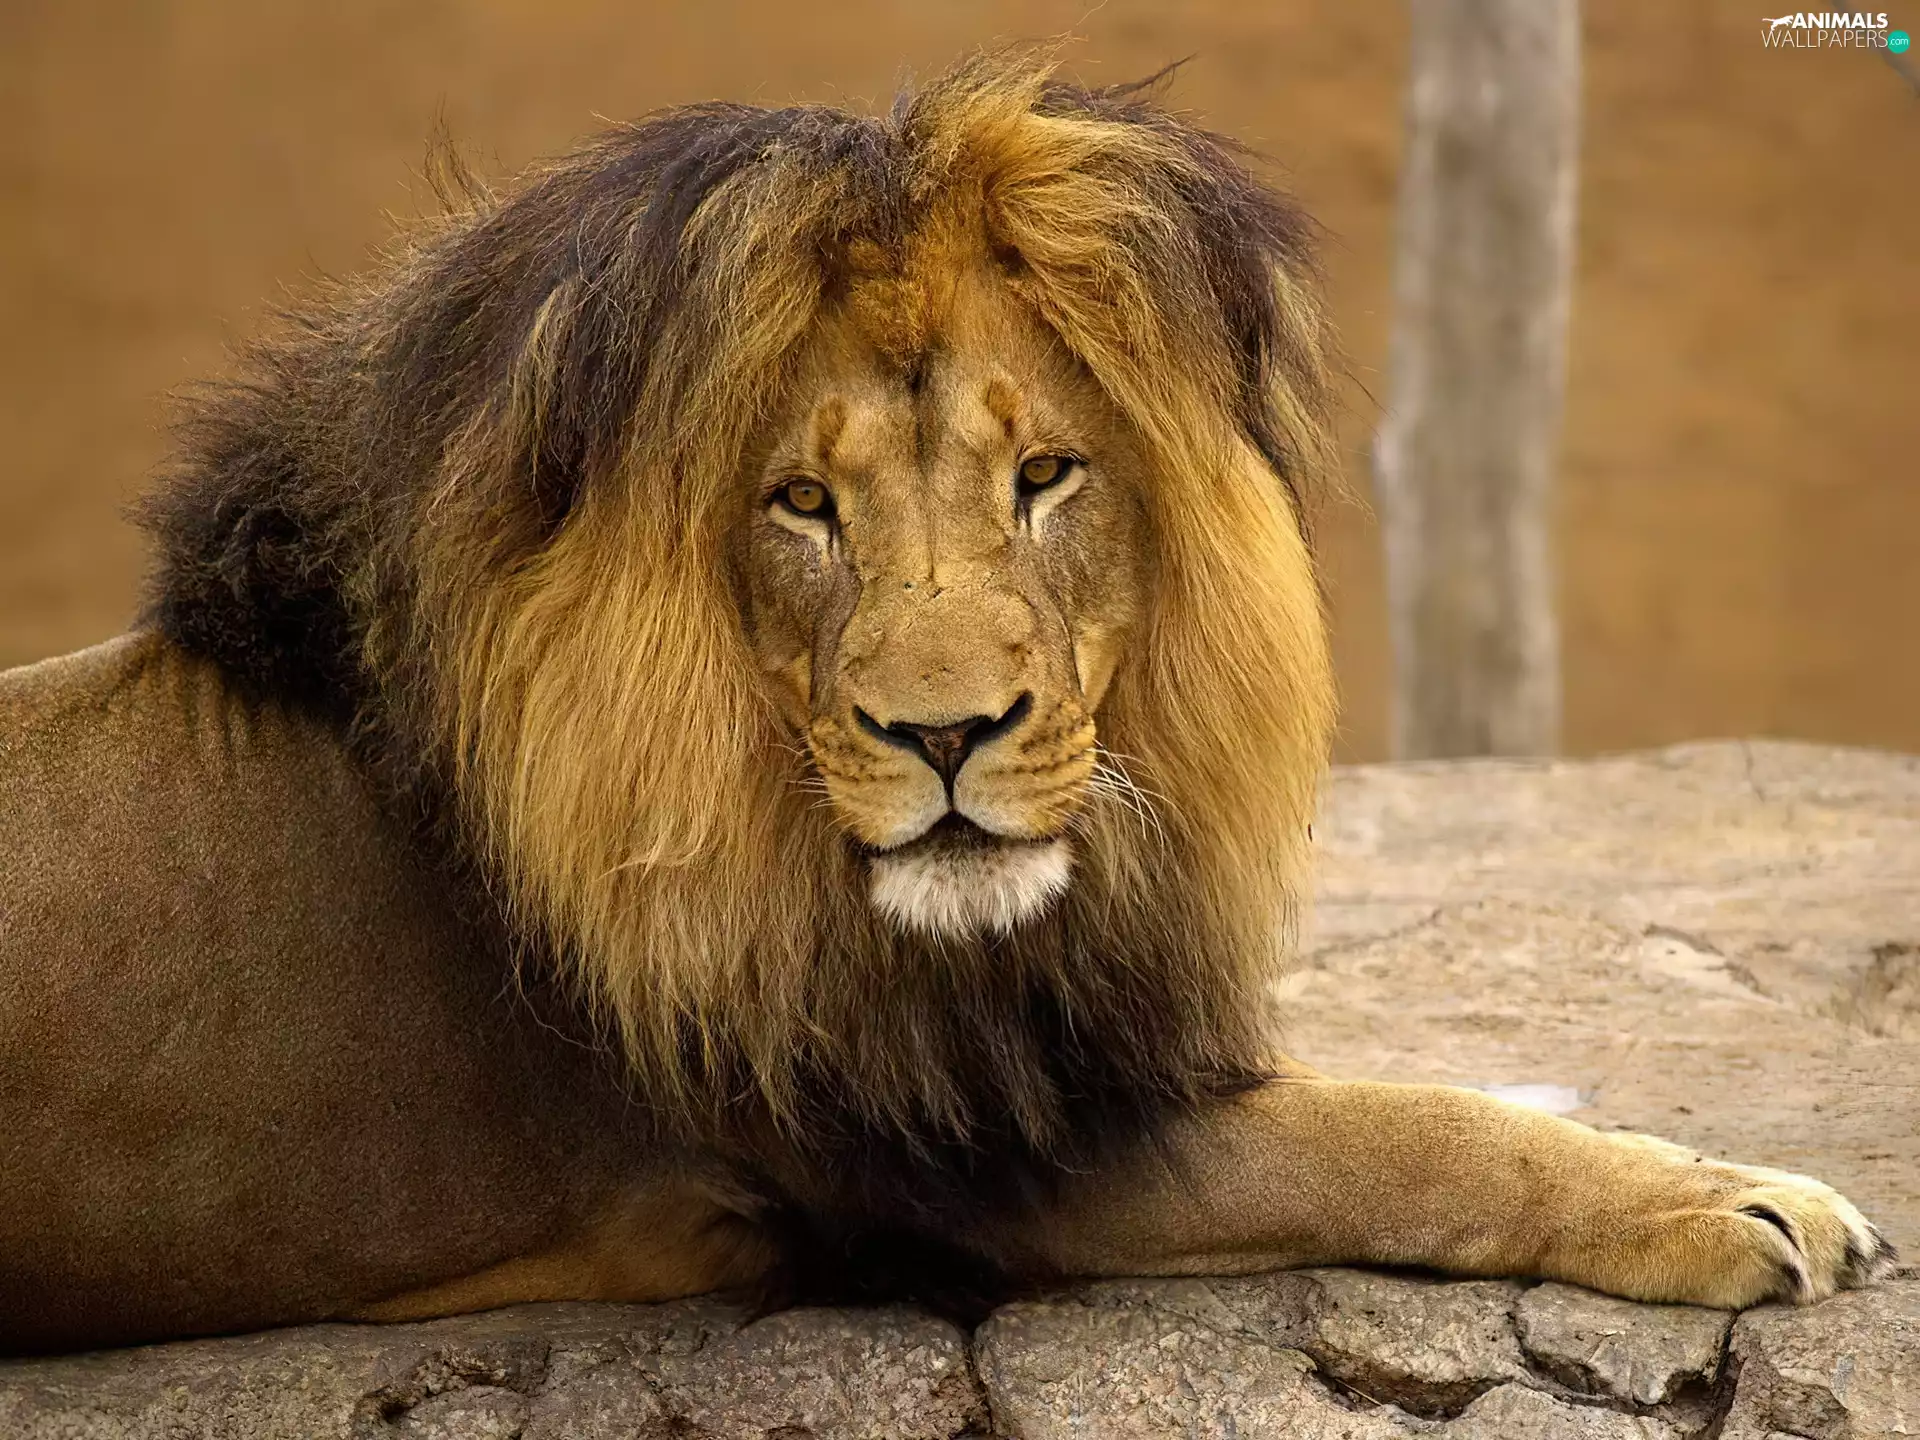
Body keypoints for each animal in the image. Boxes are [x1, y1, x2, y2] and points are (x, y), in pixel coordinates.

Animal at [0, 55, 1893, 1353]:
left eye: (1045, 475)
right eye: (801, 505)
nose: (945, 739)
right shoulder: (954, 1160)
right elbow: (1395, 1140)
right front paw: (1725, 1197)